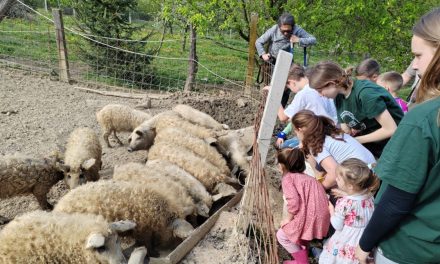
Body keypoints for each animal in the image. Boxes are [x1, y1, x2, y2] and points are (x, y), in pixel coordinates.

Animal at [53, 179, 194, 256]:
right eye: (176, 237)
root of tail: (57, 207)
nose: (177, 247)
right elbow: (146, 243)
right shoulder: (142, 229)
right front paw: (155, 253)